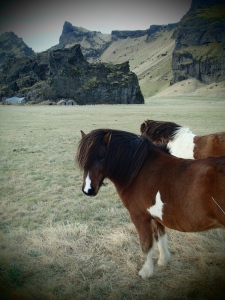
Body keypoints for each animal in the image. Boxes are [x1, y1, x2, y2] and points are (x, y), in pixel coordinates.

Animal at [76, 129, 225, 278]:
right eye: (83, 160)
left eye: (101, 157)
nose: (88, 190)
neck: (140, 170)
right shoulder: (156, 216)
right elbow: (160, 236)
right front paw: (163, 260)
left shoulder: (140, 217)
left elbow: (146, 244)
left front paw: (146, 272)